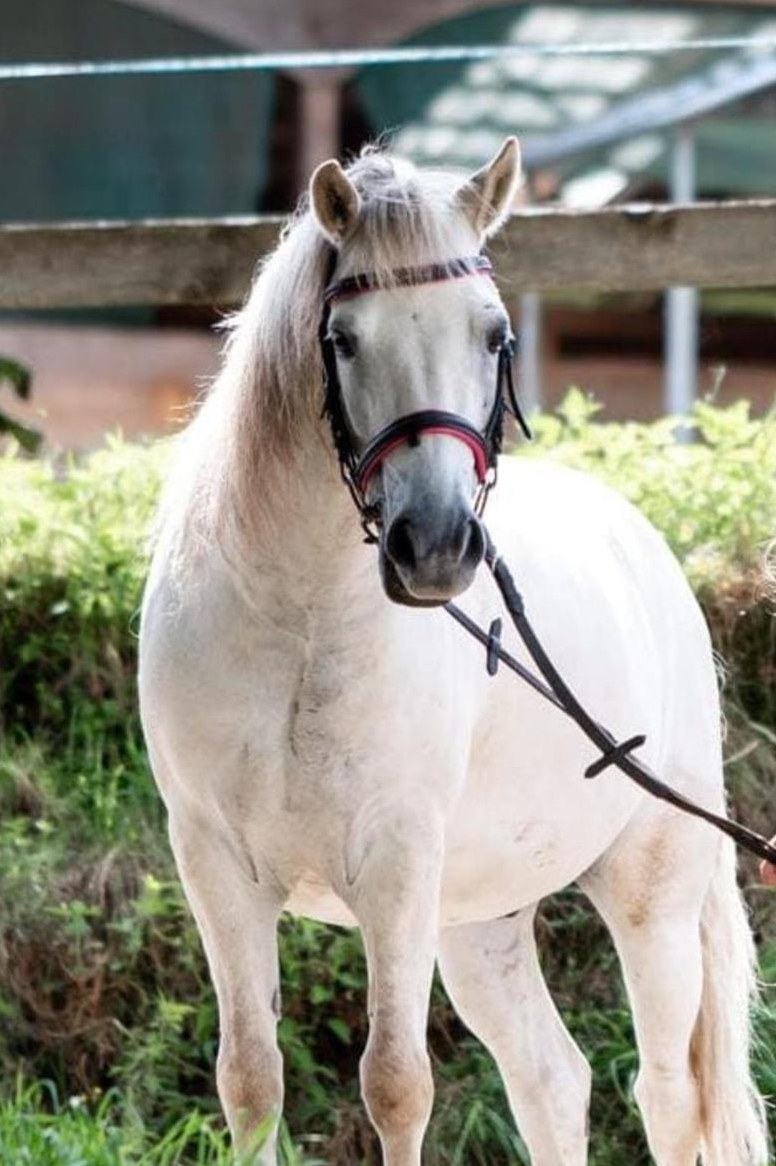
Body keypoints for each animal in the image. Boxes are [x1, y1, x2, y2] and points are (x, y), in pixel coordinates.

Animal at [138, 138, 767, 1166]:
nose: (435, 546)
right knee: (554, 1080)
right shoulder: (216, 866)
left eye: (493, 332)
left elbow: (397, 1086)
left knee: (669, 1096)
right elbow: (251, 1082)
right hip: (479, 920)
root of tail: (645, 548)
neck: (300, 623)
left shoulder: (397, 865)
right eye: (344, 340)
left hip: (653, 898)